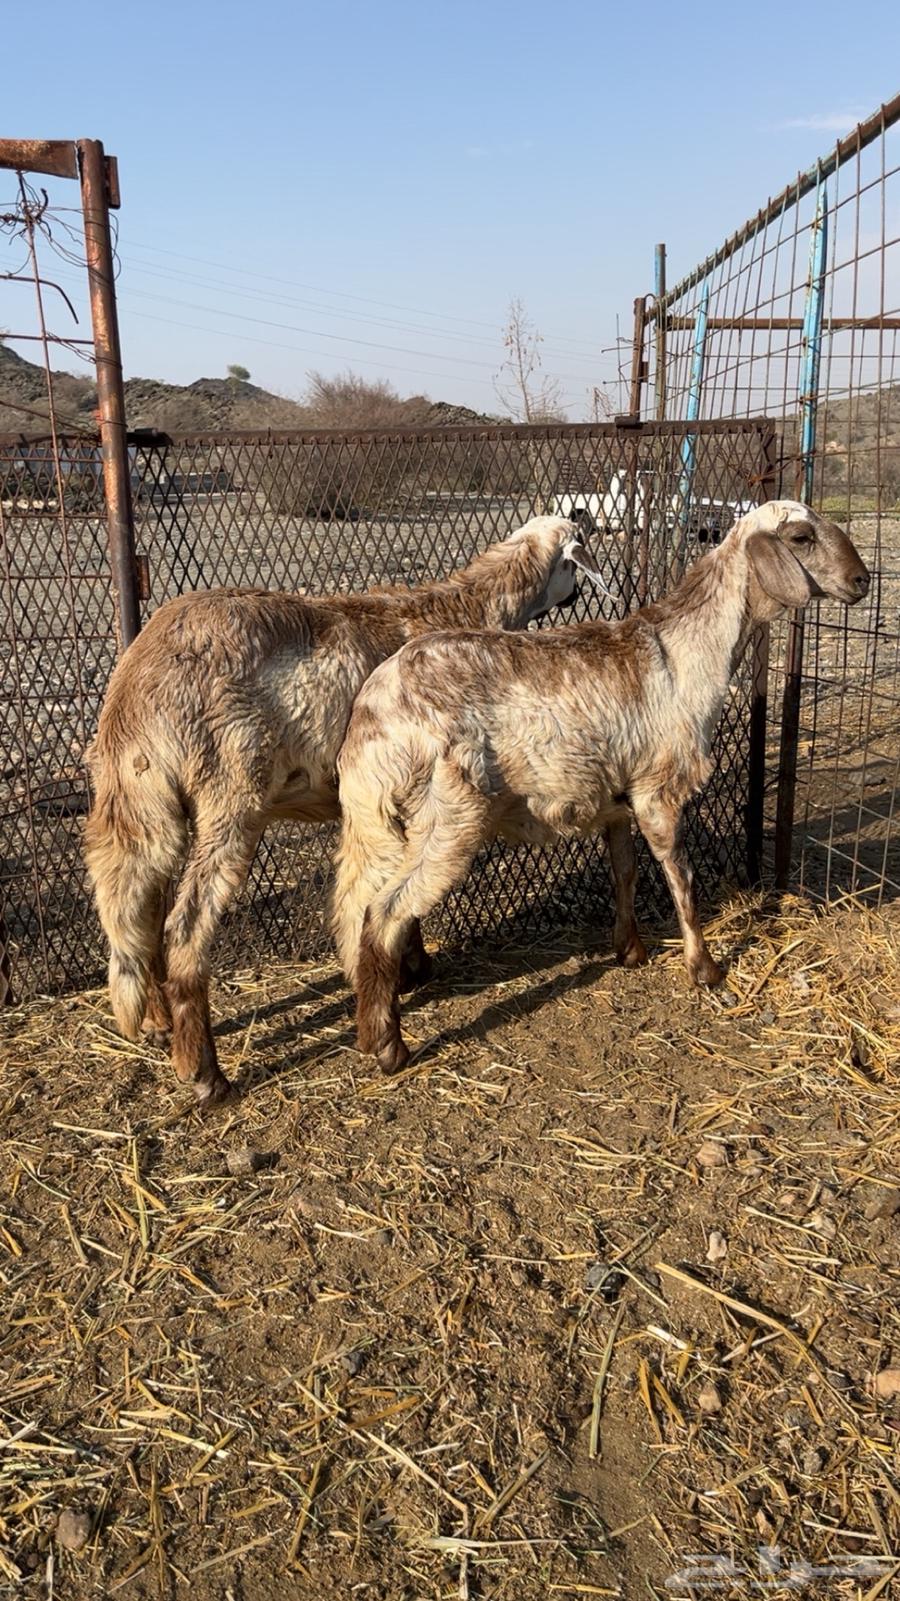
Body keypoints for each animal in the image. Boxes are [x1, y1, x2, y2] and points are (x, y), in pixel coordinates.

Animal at [85, 514, 601, 1108]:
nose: (576, 593)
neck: (468, 607)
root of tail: (137, 687)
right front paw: (407, 973)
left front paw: (410, 970)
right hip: (229, 795)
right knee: (186, 928)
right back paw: (206, 1076)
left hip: (143, 796)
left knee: (138, 902)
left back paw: (156, 1022)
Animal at [333, 500, 870, 1074]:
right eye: (801, 536)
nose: (862, 580)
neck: (685, 653)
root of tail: (371, 714)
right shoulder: (658, 790)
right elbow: (681, 877)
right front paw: (704, 968)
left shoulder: (618, 798)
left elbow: (625, 872)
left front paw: (630, 950)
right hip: (449, 813)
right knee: (383, 914)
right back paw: (387, 1044)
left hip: (387, 823)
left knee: (360, 907)